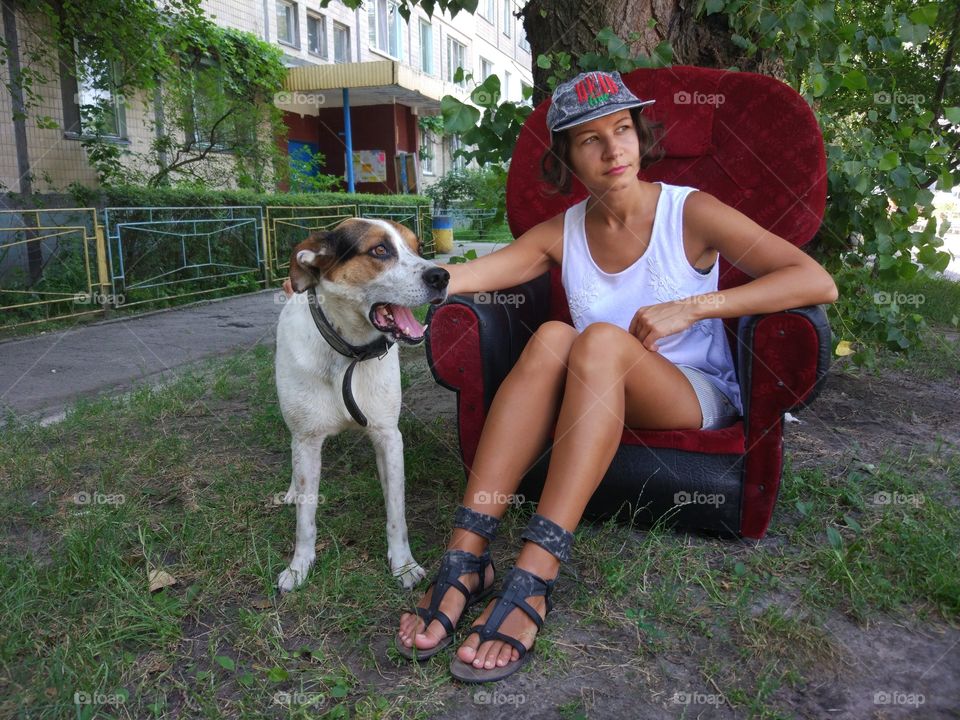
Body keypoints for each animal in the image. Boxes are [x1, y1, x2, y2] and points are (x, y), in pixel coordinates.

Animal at [272, 219, 448, 592]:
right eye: (379, 250)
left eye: (418, 247)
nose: (442, 275)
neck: (348, 353)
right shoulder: (307, 440)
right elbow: (305, 519)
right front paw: (298, 567)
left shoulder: (389, 436)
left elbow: (396, 512)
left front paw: (403, 564)